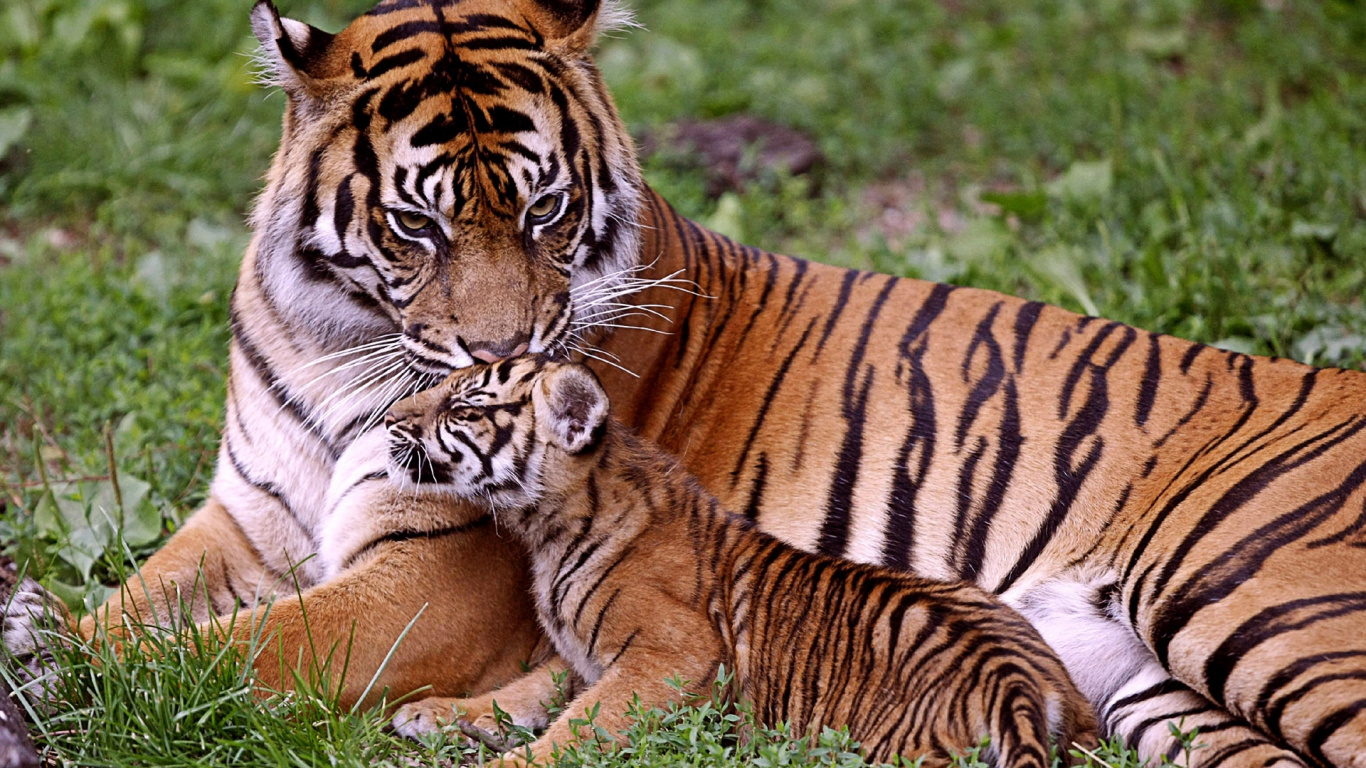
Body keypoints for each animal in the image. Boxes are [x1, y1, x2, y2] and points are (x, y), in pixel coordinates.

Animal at [369, 356, 1099, 767]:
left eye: (463, 408)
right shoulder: (582, 655)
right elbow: (526, 690)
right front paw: (435, 713)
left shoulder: (672, 652)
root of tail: (1017, 682)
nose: (388, 419)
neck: (546, 527)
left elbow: (580, 725)